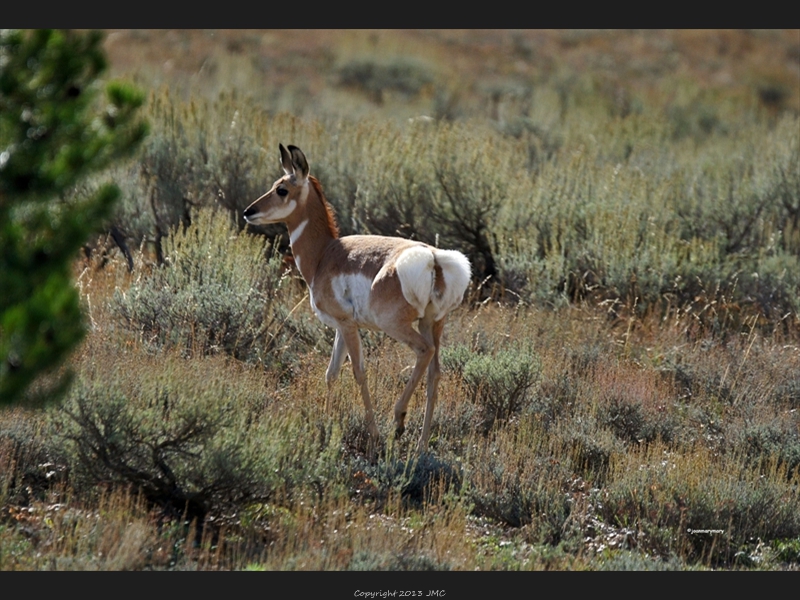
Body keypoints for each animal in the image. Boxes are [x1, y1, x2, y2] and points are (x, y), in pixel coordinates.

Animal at [241, 145, 472, 452]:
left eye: (281, 189)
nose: (248, 212)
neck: (325, 253)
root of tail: (433, 257)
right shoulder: (342, 327)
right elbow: (331, 372)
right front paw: (326, 424)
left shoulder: (349, 326)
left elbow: (358, 372)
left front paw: (372, 432)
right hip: (433, 323)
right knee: (435, 373)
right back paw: (421, 444)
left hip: (396, 326)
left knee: (424, 352)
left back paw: (398, 420)